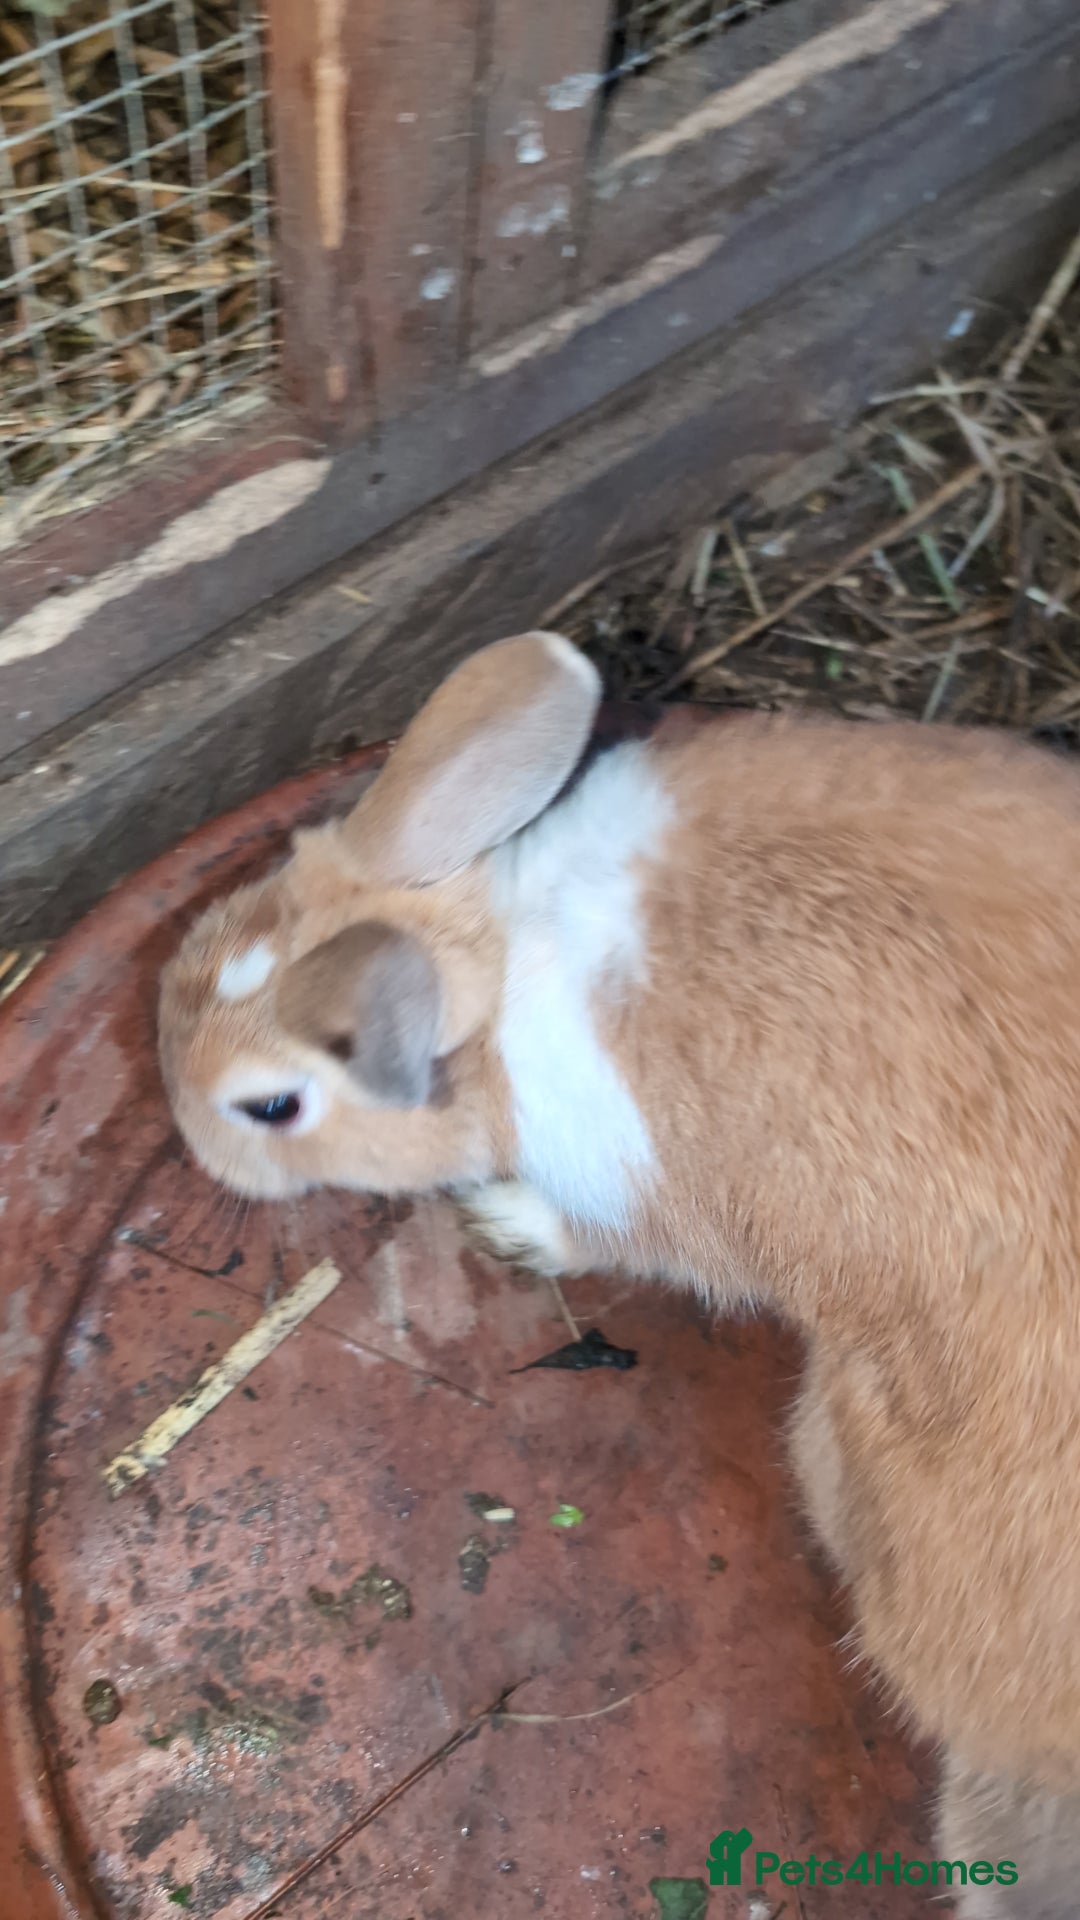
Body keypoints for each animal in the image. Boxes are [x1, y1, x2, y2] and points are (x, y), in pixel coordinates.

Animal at [160, 630, 1080, 1915]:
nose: (190, 1141)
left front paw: (505, 1226)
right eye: (204, 939)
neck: (494, 963)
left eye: (271, 1107)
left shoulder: (640, 1198)